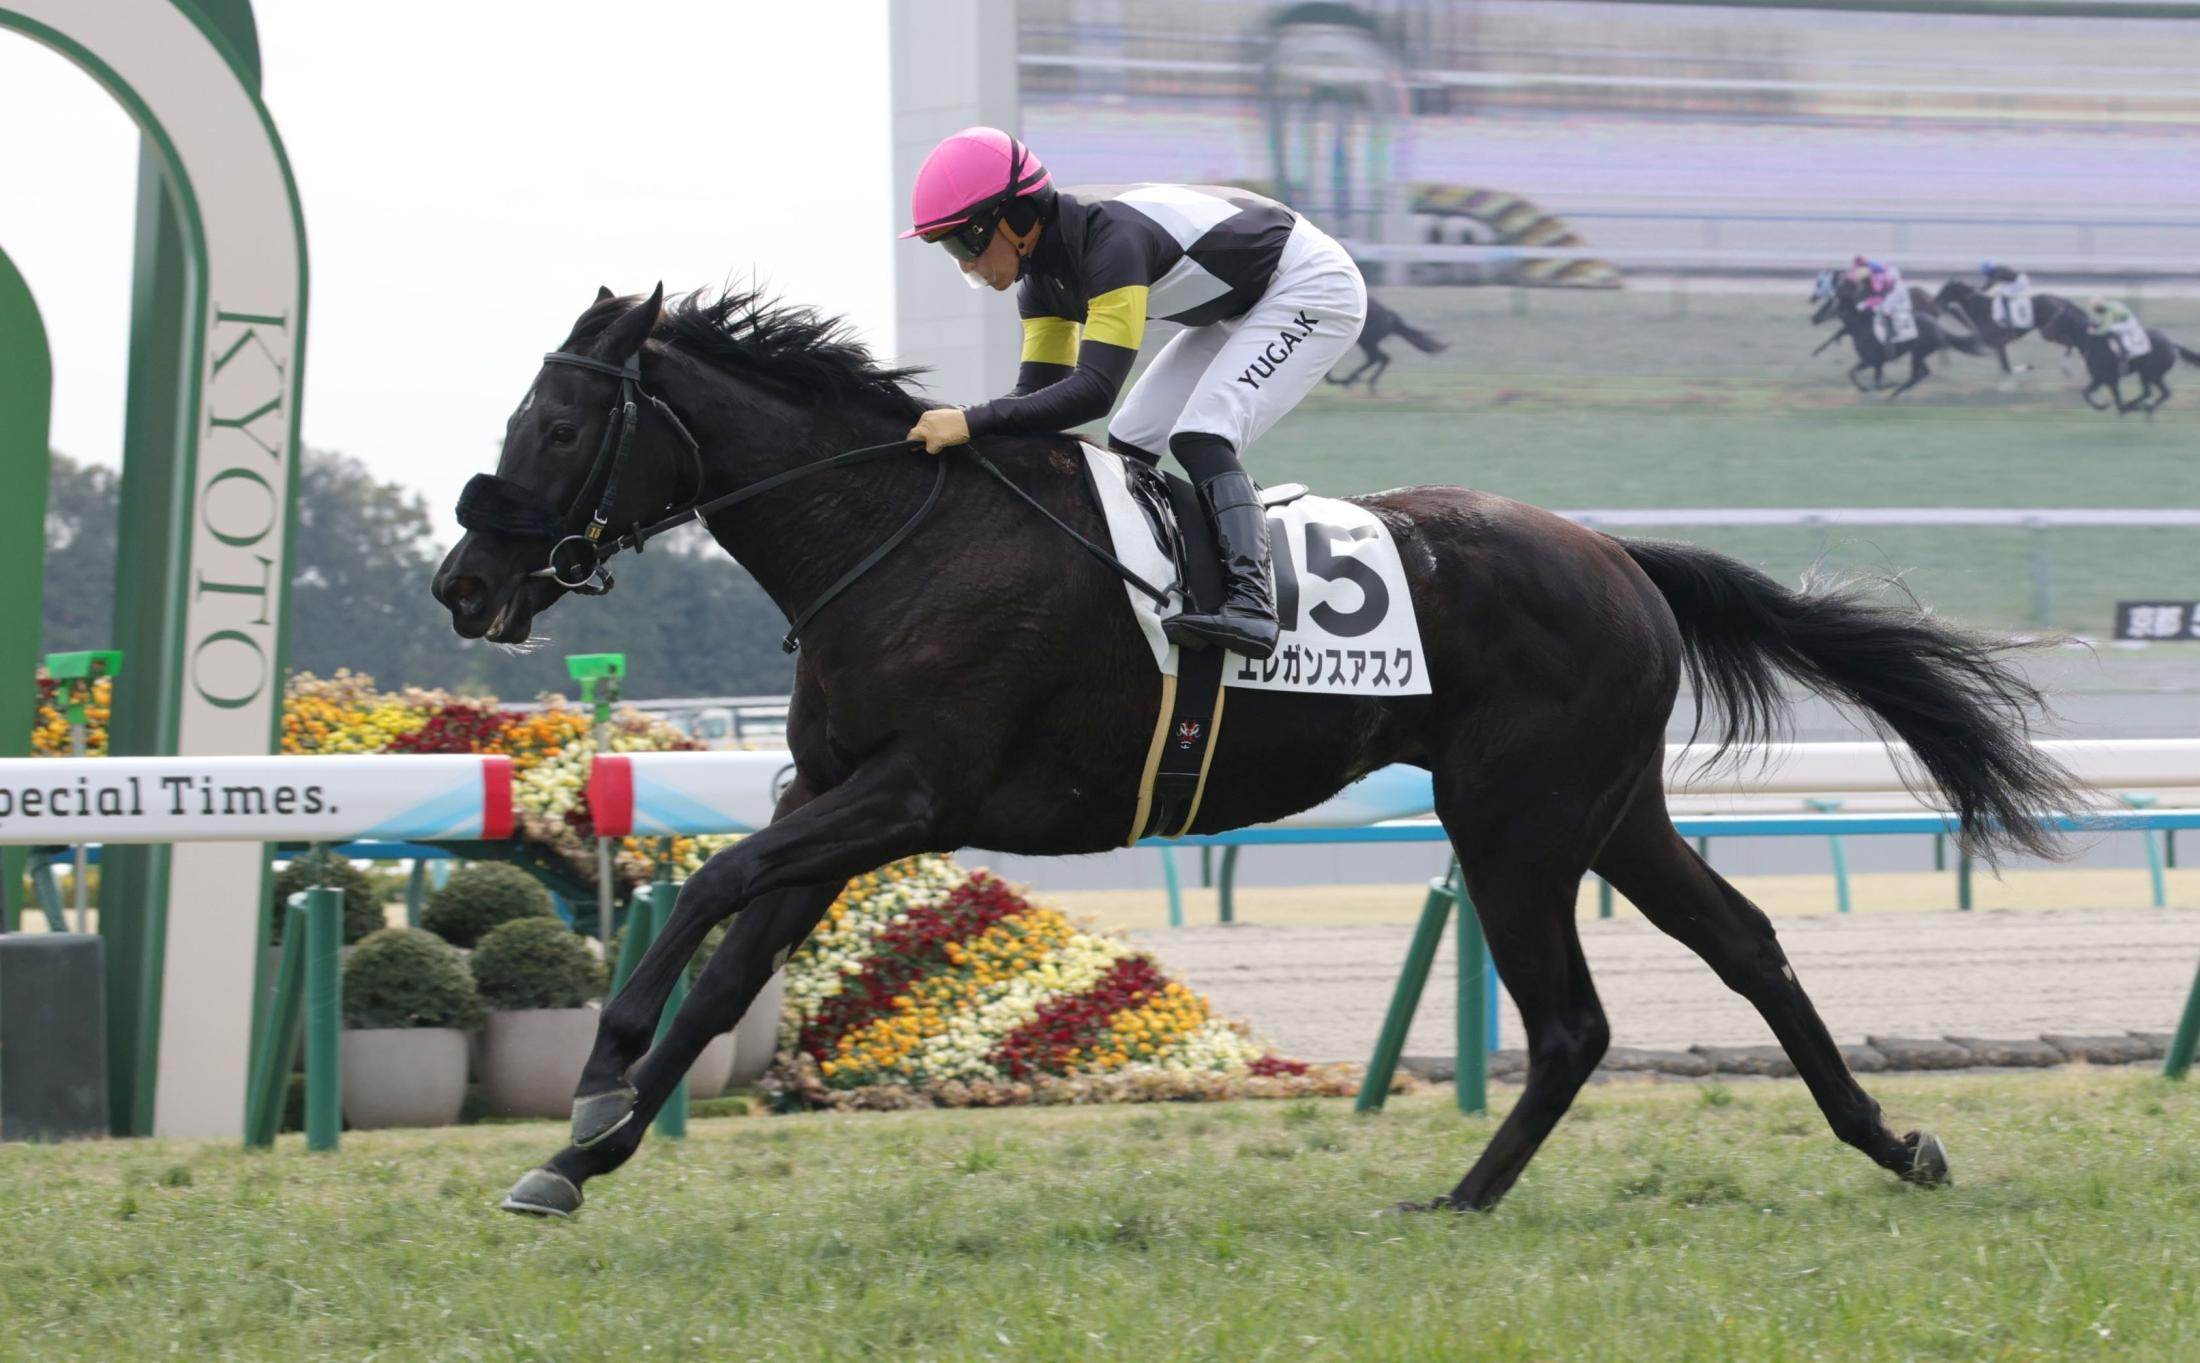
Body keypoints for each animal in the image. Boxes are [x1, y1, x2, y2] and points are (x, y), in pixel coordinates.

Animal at [1822, 275, 1984, 399]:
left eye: (1835, 297)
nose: (1822, 314)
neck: (1861, 325)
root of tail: (1938, 328)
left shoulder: (1873, 361)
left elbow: (1872, 381)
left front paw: (1884, 385)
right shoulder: (1870, 362)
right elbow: (1853, 373)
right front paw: (1866, 388)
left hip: (1918, 353)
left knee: (1917, 375)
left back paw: (1894, 394)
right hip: (1919, 353)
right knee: (1923, 373)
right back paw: (1896, 393)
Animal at [1933, 281, 2083, 375]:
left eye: (1946, 290)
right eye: (1942, 288)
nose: (1935, 301)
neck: (1982, 308)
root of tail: (2062, 301)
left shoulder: (1999, 343)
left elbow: (2006, 368)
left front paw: (2028, 367)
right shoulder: (1997, 344)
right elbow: (2004, 366)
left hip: (2050, 332)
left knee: (2070, 342)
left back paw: (2066, 368)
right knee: (2071, 341)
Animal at [2037, 309, 2198, 415]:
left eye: (2056, 320)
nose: (2044, 332)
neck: (2092, 341)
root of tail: (2172, 344)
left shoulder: (2105, 378)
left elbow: (2106, 398)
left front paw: (2106, 406)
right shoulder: (2102, 378)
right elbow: (2088, 393)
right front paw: (2104, 406)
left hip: (2149, 373)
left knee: (2152, 392)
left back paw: (2142, 407)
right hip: (2153, 375)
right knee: (2160, 393)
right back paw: (2145, 408)